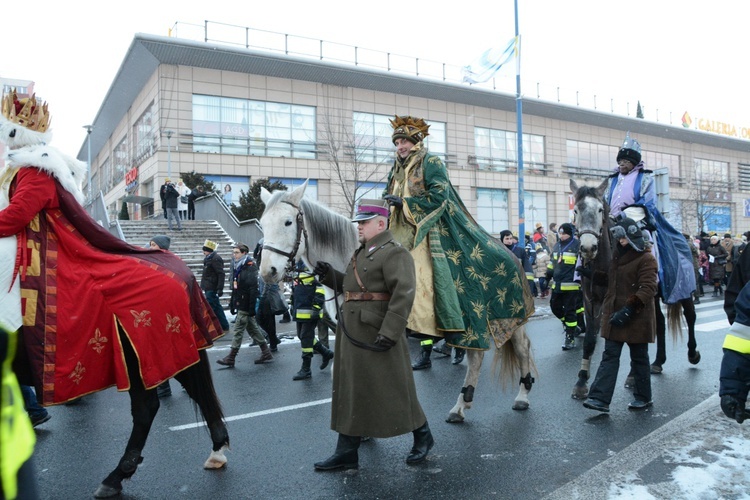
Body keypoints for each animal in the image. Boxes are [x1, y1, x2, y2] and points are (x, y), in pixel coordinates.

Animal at [262, 180, 536, 422]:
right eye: (262, 224)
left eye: (288, 222)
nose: (268, 271)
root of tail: (510, 253)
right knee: (477, 358)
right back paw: (462, 405)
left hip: (504, 319)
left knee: (520, 350)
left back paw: (520, 396)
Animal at [572, 178, 704, 400]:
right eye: (576, 210)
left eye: (600, 209)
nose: (588, 248)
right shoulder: (590, 301)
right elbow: (590, 338)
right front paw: (581, 381)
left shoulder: (616, 299)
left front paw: (632, 376)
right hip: (652, 295)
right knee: (659, 323)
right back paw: (658, 362)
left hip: (684, 288)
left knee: (691, 315)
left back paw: (692, 354)